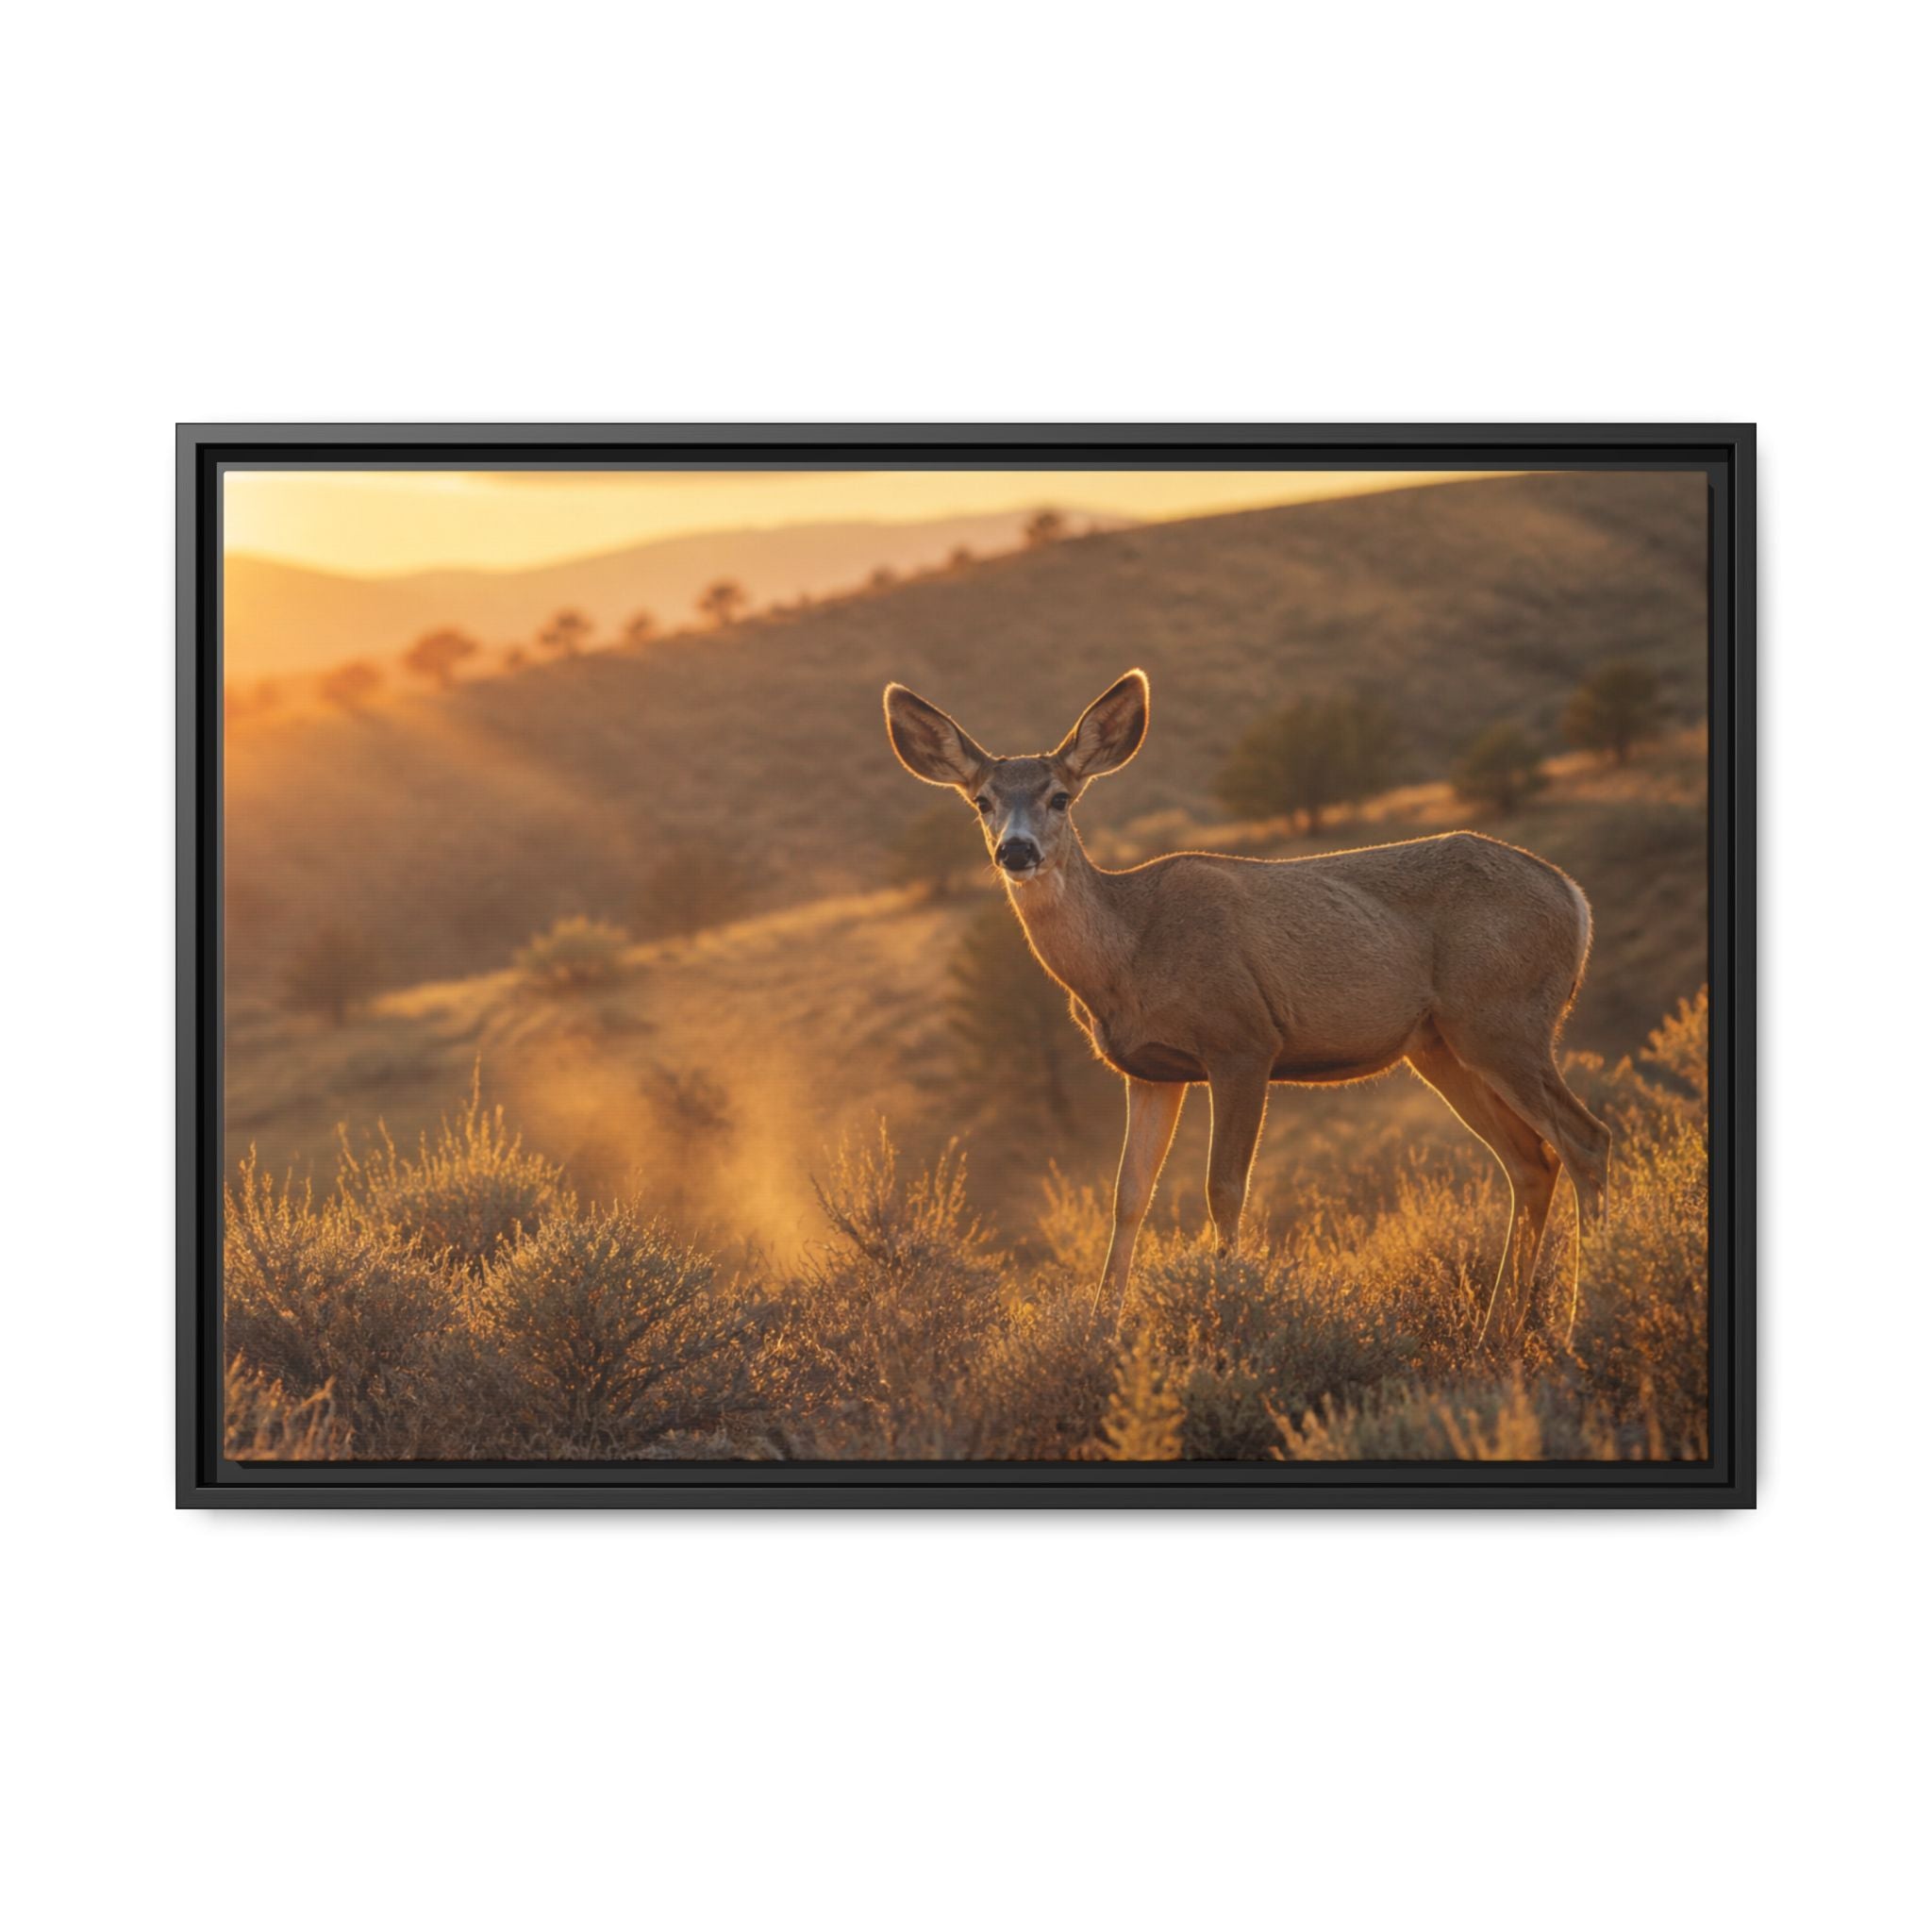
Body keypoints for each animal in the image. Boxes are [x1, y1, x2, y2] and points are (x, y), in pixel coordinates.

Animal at [883, 668, 1612, 1348]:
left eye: (1060, 796)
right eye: (982, 801)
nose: (1016, 849)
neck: (1130, 954)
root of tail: (1574, 899)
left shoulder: (1242, 1040)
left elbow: (1224, 1188)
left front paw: (1228, 1316)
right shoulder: (1150, 1072)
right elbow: (1129, 1197)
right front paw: (1101, 1331)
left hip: (1504, 1019)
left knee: (1586, 1139)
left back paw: (1583, 1325)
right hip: (1441, 1044)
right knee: (1530, 1161)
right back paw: (1497, 1334)